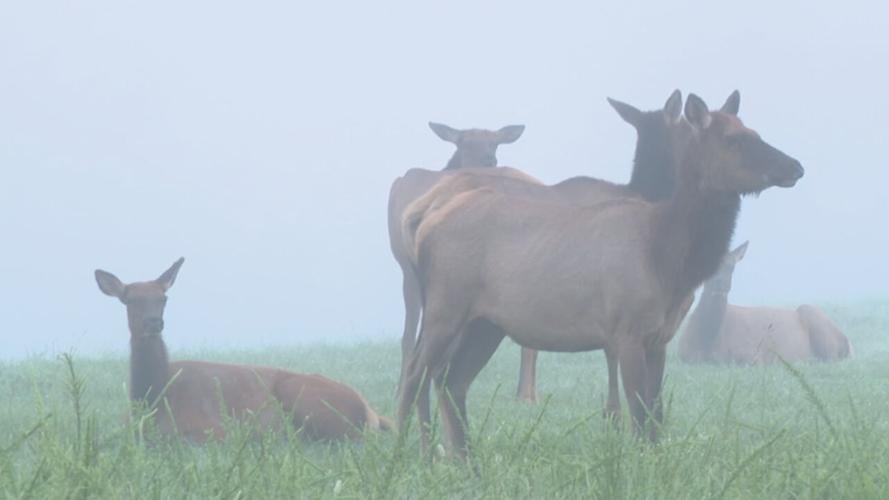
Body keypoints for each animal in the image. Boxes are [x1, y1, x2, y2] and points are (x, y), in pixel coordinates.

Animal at [95, 258, 392, 442]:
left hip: (306, 398)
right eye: (129, 300)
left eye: (163, 298)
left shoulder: (210, 428)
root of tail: (371, 413)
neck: (152, 398)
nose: (153, 322)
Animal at [398, 92, 804, 460]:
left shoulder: (659, 338)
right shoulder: (626, 329)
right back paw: (409, 453)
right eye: (734, 140)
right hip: (445, 308)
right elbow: (637, 414)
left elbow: (657, 415)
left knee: (451, 381)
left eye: (754, 131)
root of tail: (422, 220)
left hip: (486, 324)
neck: (667, 257)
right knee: (416, 373)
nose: (796, 166)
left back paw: (465, 461)